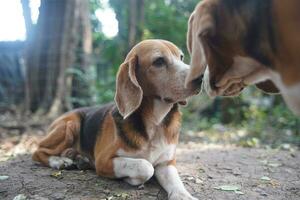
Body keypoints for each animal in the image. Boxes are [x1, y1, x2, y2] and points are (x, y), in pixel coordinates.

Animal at [32, 39, 199, 200]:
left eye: (181, 57)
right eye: (159, 61)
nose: (200, 77)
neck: (155, 121)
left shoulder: (167, 163)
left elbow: (176, 182)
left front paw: (184, 196)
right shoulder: (104, 160)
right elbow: (146, 167)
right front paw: (131, 179)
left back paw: (78, 158)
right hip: (71, 124)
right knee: (38, 151)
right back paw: (59, 161)